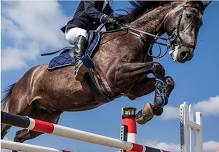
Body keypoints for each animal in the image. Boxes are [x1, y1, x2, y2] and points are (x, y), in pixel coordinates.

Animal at [1, 0, 210, 145]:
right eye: (189, 16)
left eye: (201, 23)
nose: (185, 54)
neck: (137, 37)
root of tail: (22, 80)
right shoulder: (114, 78)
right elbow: (158, 67)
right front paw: (152, 107)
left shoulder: (132, 88)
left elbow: (168, 79)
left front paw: (150, 109)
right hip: (17, 109)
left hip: (45, 117)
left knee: (20, 136)